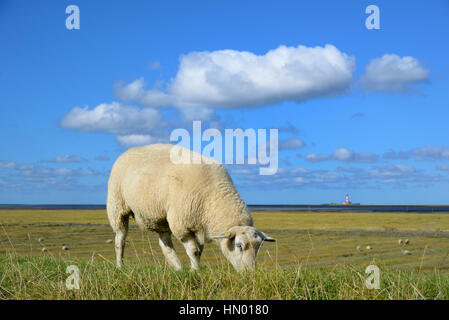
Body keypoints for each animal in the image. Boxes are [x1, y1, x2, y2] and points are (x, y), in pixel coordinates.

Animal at [107, 144, 274, 272]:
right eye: (239, 245)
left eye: (258, 247)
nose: (250, 272)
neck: (212, 199)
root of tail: (128, 151)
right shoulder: (182, 226)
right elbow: (194, 251)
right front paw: (195, 271)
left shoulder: (199, 225)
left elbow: (199, 252)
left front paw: (193, 269)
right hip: (117, 206)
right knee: (120, 239)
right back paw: (120, 265)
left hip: (161, 217)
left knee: (165, 244)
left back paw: (177, 268)